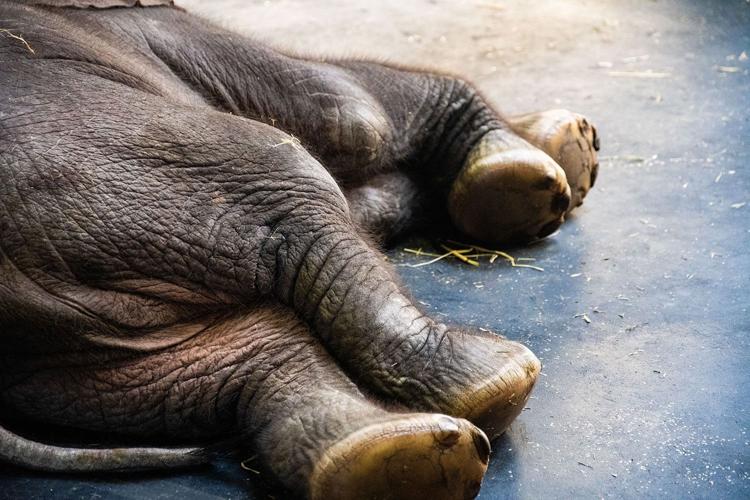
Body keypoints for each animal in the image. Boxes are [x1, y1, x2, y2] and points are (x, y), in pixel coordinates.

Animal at [0, 0, 599, 498]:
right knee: (309, 162)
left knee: (202, 359)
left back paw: (391, 460)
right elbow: (353, 116)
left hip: (61, 339)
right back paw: (496, 380)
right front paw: (555, 157)